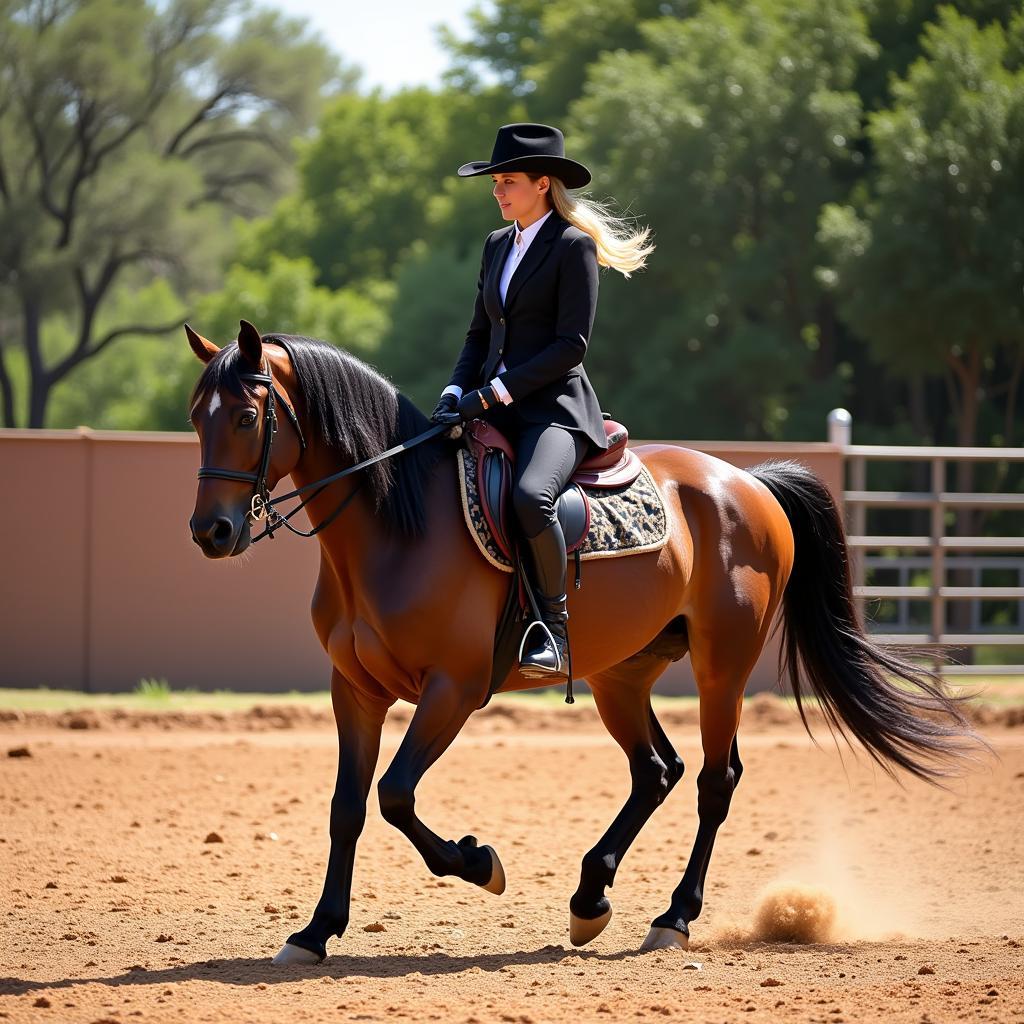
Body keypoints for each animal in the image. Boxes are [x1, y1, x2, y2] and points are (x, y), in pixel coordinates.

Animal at [186, 321, 974, 966]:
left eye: (248, 416)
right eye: (197, 418)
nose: (211, 532)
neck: (394, 526)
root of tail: (745, 480)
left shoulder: (452, 689)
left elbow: (396, 795)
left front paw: (481, 863)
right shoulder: (354, 690)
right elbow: (347, 808)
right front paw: (315, 931)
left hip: (723, 668)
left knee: (714, 780)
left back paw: (673, 918)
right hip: (620, 677)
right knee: (657, 770)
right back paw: (590, 897)